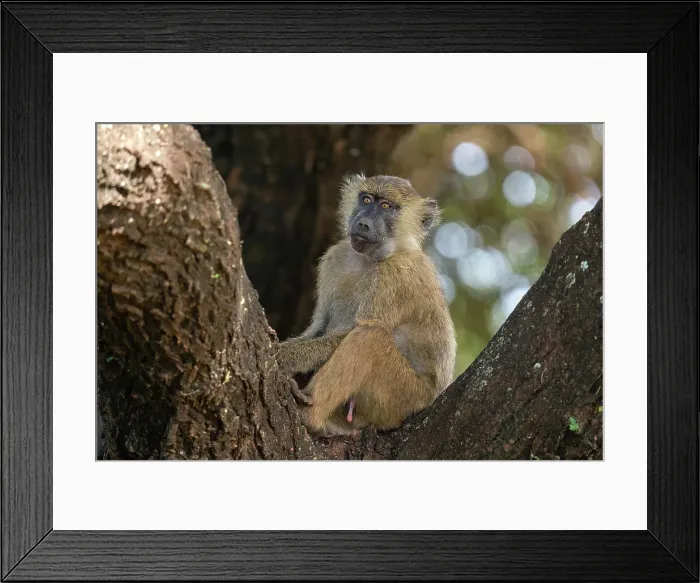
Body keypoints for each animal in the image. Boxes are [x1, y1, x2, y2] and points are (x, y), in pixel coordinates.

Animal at [277, 174, 457, 437]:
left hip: (404, 399)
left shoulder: (395, 276)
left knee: (371, 336)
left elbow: (350, 333)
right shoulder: (335, 257)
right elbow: (319, 328)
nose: (362, 224)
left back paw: (309, 414)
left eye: (386, 206)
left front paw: (279, 356)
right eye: (366, 199)